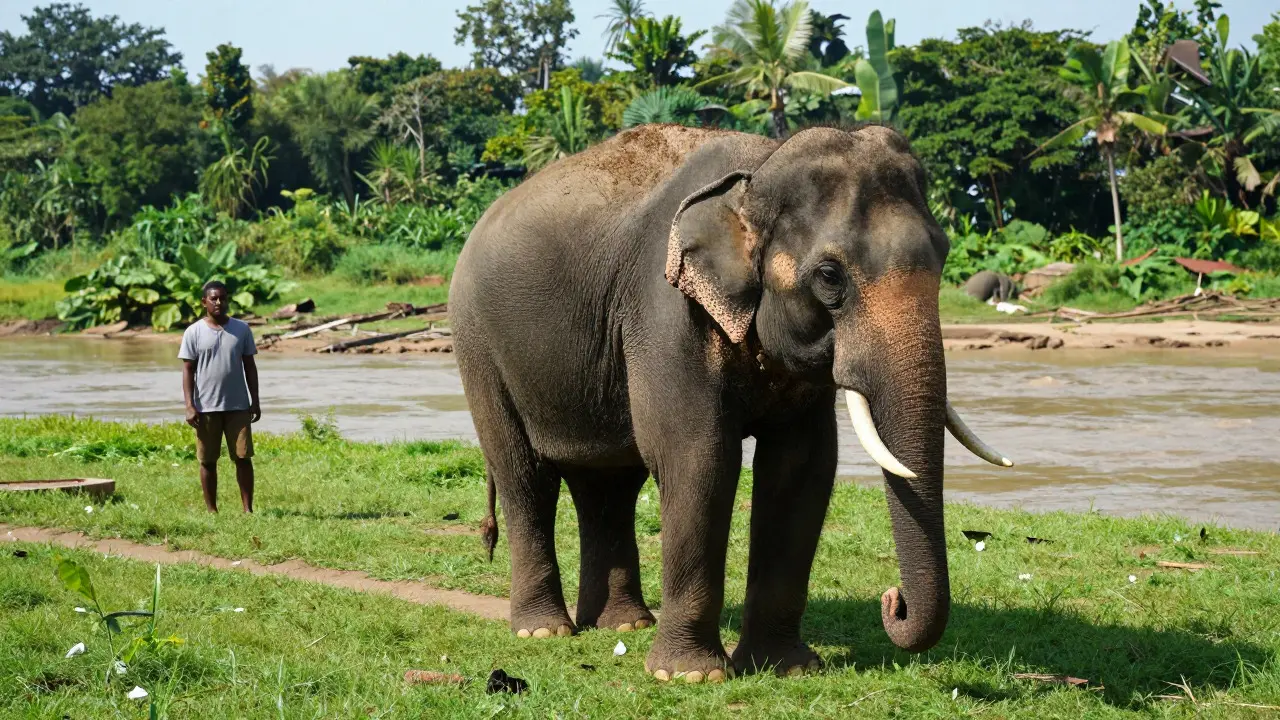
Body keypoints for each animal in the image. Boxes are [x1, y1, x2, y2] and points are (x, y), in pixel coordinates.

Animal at [449, 123, 1012, 683]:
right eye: (830, 275)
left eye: (943, 254)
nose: (892, 601)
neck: (757, 170)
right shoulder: (664, 312)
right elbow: (698, 459)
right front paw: (689, 676)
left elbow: (802, 467)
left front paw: (787, 668)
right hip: (478, 347)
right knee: (527, 477)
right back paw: (543, 630)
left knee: (609, 484)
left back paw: (624, 625)